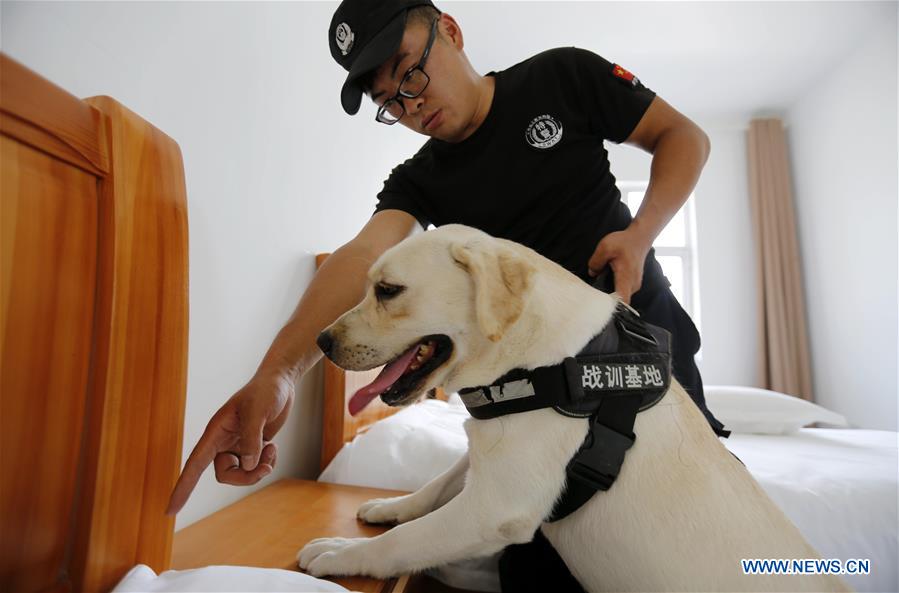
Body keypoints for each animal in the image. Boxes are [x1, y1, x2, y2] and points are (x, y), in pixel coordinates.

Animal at [298, 224, 856, 588]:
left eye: (388, 291)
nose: (321, 341)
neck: (537, 361)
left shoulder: (496, 508)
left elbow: (407, 541)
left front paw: (343, 552)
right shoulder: (496, 460)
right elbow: (437, 485)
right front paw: (391, 506)